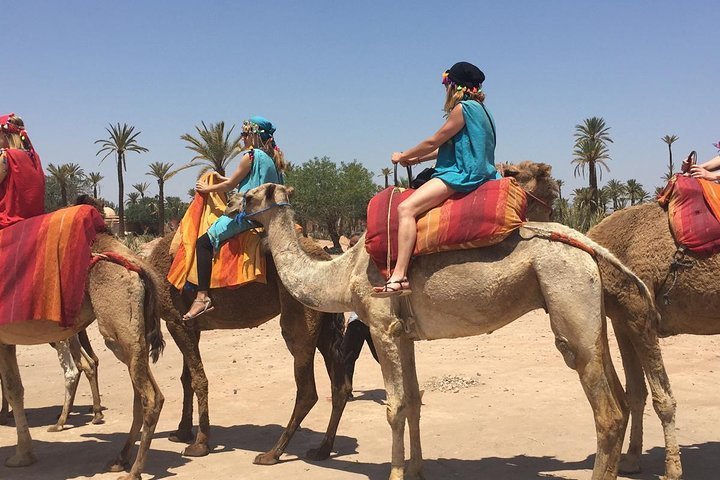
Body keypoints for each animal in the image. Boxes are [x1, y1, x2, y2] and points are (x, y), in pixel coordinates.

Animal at [0, 232, 165, 480]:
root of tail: (137, 263)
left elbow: (10, 389)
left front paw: (20, 454)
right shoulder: (6, 340)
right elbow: (14, 389)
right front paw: (24, 455)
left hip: (117, 326)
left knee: (149, 396)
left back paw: (134, 471)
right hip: (134, 335)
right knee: (145, 393)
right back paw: (120, 458)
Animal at [146, 232, 348, 464]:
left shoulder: (176, 322)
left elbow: (198, 379)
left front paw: (200, 444)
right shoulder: (189, 325)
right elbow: (186, 379)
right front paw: (181, 432)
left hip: (300, 316)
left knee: (307, 390)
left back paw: (272, 453)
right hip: (323, 321)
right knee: (340, 387)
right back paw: (322, 450)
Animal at [228, 178, 668, 480]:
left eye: (250, 196)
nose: (229, 204)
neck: (342, 273)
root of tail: (587, 244)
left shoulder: (382, 326)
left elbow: (394, 406)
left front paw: (395, 473)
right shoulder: (402, 333)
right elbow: (414, 399)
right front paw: (416, 470)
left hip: (568, 296)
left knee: (607, 410)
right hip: (590, 312)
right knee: (618, 395)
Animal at [588, 201, 716, 478]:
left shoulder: (641, 314)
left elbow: (663, 399)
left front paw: (673, 470)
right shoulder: (622, 320)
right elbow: (636, 392)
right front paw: (631, 459)